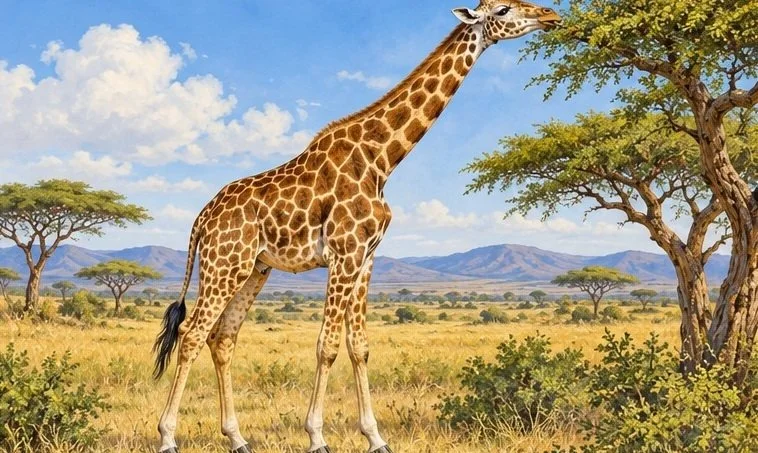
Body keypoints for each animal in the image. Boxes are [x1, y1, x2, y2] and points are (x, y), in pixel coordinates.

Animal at [153, 2, 561, 452]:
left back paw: (237, 438)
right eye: (503, 9)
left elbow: (359, 346)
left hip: (254, 269)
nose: (550, 15)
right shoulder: (343, 254)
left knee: (222, 337)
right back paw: (168, 437)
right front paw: (317, 436)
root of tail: (201, 218)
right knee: (191, 333)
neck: (382, 160)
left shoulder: (365, 258)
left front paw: (375, 437)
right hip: (225, 264)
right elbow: (327, 345)